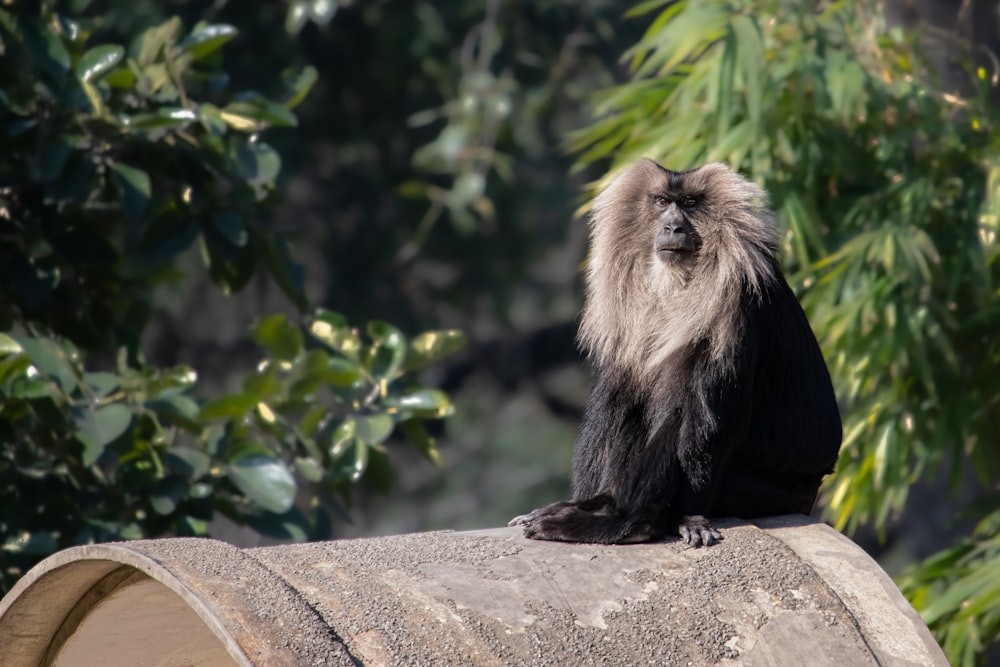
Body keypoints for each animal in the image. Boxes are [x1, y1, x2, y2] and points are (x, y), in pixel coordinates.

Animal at [508, 159, 844, 544]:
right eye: (661, 201)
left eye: (691, 203)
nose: (672, 226)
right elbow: (618, 396)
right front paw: (590, 501)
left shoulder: (736, 303)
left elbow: (715, 419)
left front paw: (682, 517)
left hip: (762, 492)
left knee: (686, 413)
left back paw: (633, 524)